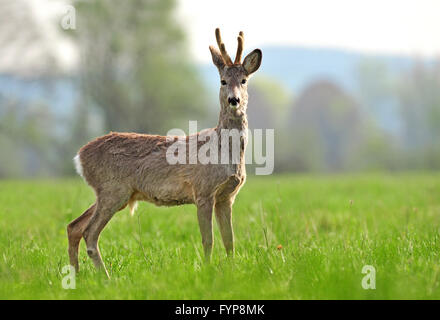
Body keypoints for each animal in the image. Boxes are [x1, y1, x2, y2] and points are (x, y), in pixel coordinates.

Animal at [67, 28, 262, 278]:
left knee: (74, 226)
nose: (234, 100)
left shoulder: (227, 196)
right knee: (89, 233)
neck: (224, 153)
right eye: (223, 81)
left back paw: (76, 275)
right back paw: (107, 279)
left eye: (244, 81)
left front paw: (232, 272)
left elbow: (229, 240)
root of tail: (79, 157)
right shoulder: (203, 191)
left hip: (113, 193)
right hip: (113, 190)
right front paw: (208, 271)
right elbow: (208, 240)